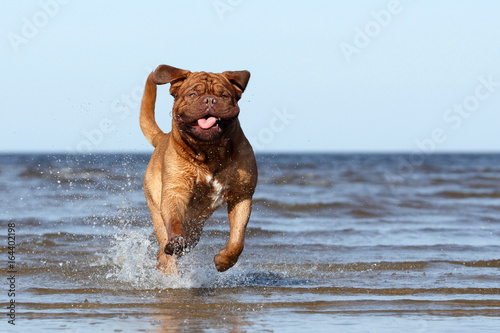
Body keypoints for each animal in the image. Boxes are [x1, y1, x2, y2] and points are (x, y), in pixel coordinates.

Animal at [141, 63, 258, 274]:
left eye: (224, 95)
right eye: (193, 94)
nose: (210, 100)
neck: (209, 152)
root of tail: (162, 138)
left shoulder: (242, 195)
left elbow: (237, 239)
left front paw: (224, 260)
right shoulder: (175, 192)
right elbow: (174, 222)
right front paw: (176, 242)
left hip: (195, 224)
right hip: (157, 206)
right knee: (164, 246)